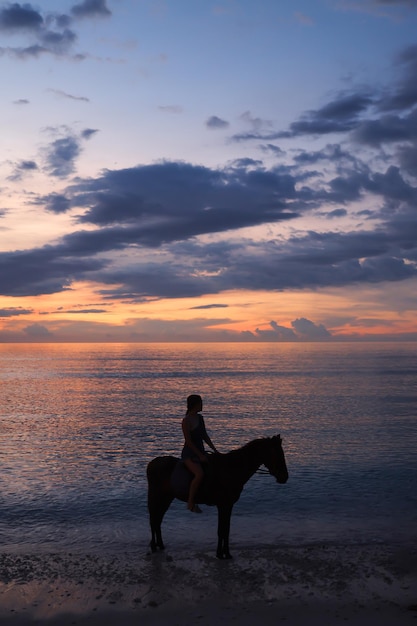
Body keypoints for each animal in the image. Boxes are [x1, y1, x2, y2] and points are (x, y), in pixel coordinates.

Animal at [145, 432, 286, 560]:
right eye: (278, 454)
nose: (285, 477)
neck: (232, 469)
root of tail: (152, 464)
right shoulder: (224, 505)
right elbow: (222, 530)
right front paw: (223, 553)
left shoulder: (227, 506)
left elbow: (225, 529)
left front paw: (223, 553)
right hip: (157, 497)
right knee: (153, 519)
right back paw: (153, 546)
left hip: (166, 498)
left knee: (157, 520)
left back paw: (160, 545)